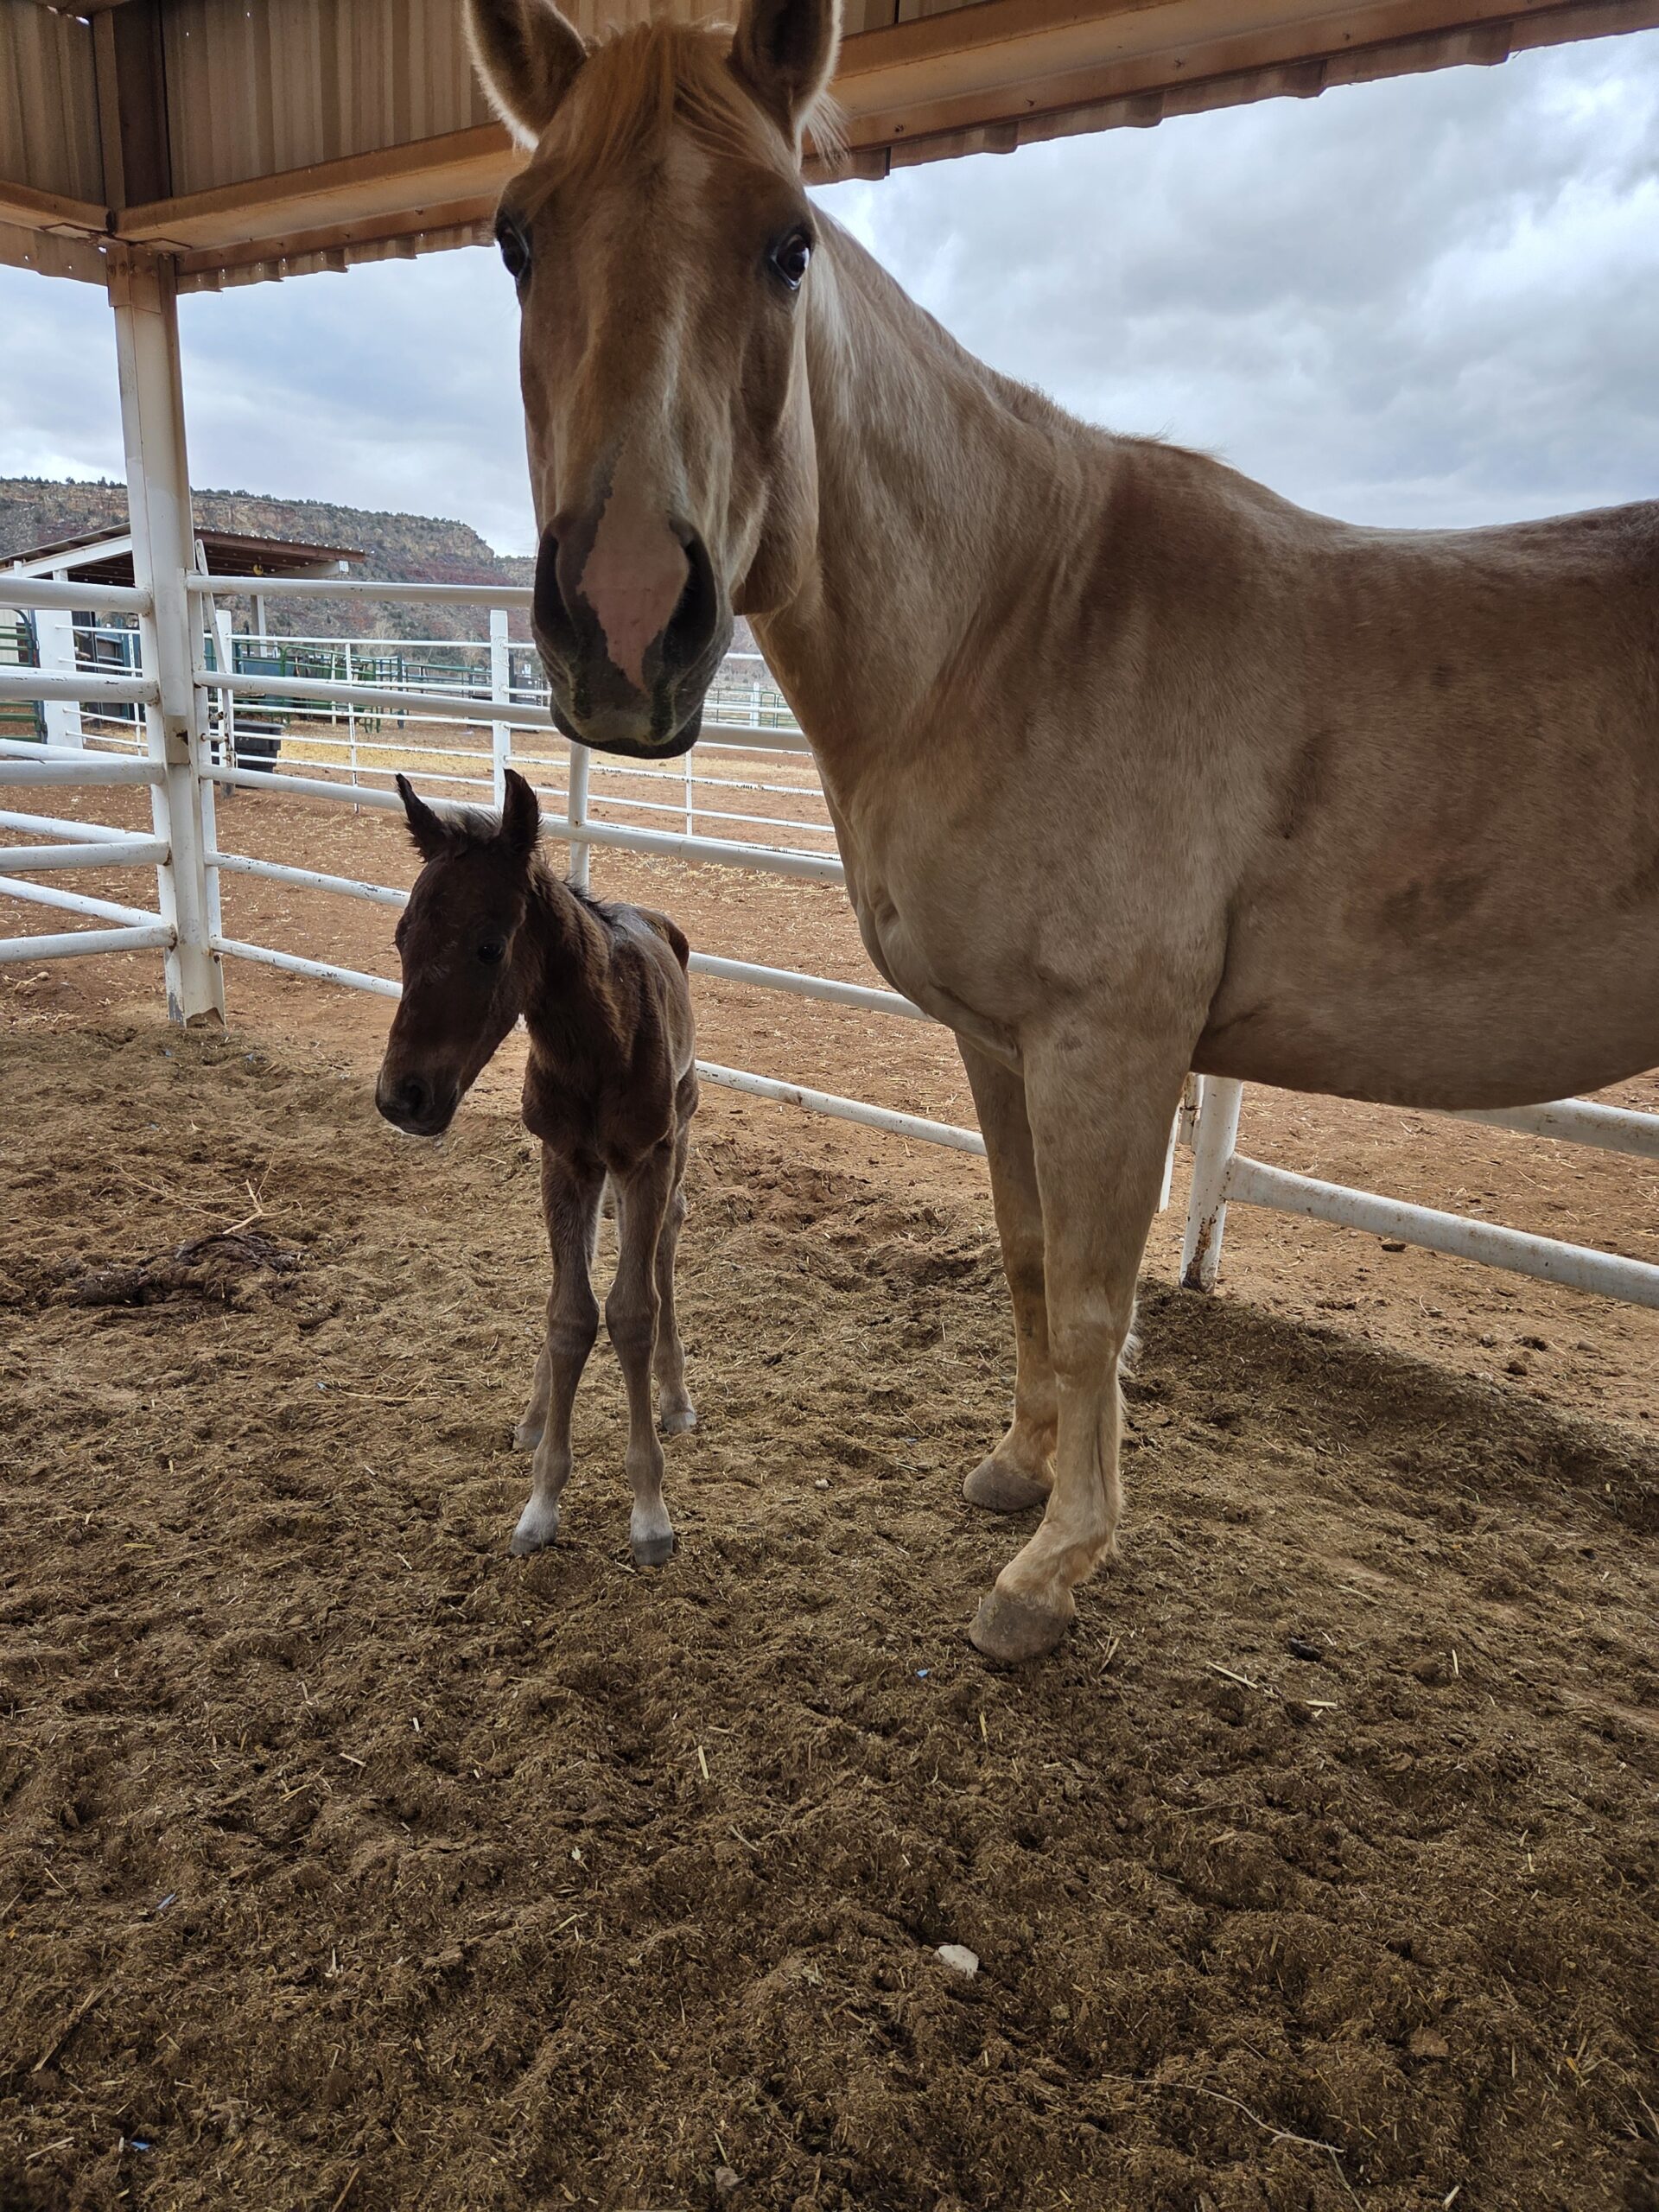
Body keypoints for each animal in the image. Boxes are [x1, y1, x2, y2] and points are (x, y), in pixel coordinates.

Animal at [375, 768, 699, 1567]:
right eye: (402, 937)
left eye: (490, 946)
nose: (402, 1096)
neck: (597, 1046)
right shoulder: (563, 1160)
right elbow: (569, 1314)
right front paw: (541, 1497)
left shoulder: (645, 1158)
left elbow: (633, 1311)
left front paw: (650, 1513)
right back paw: (534, 1410)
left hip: (678, 1132)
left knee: (668, 1241)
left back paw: (676, 1397)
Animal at [463, 0, 1659, 1662]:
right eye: (517, 237)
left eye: (788, 244)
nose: (630, 625)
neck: (1019, 621)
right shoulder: (1002, 1041)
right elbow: (1029, 1257)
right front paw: (1020, 1475)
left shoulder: (1113, 1046)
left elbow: (1097, 1294)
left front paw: (1054, 1569)